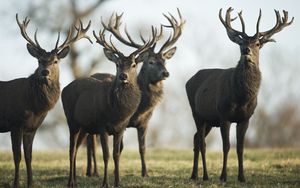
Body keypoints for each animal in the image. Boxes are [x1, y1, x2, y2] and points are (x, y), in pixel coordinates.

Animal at [0, 13, 91, 187]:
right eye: (39, 60)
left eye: (55, 61)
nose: (45, 72)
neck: (34, 106)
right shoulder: (15, 123)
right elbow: (17, 156)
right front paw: (16, 183)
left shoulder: (32, 127)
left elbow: (29, 156)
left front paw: (31, 183)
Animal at [61, 15, 159, 187]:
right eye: (118, 64)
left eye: (134, 64)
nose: (123, 76)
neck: (117, 113)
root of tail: (63, 89)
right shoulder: (102, 126)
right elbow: (106, 155)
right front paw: (105, 183)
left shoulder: (121, 128)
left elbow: (116, 154)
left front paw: (117, 182)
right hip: (71, 120)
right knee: (71, 149)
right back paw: (71, 182)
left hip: (84, 126)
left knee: (78, 148)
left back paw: (76, 179)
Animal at [84, 8, 185, 178]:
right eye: (151, 62)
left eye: (165, 61)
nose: (166, 73)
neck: (141, 108)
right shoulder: (122, 124)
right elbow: (119, 149)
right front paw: (115, 172)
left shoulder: (145, 122)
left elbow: (142, 148)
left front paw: (145, 173)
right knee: (91, 142)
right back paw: (93, 172)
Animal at [185, 7, 292, 182]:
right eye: (241, 42)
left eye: (257, 43)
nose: (246, 50)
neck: (241, 97)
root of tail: (189, 80)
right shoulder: (224, 115)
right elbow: (226, 146)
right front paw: (223, 176)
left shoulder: (245, 118)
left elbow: (241, 148)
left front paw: (242, 177)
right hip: (196, 113)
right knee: (202, 143)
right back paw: (205, 175)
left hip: (209, 120)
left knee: (195, 140)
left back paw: (194, 175)